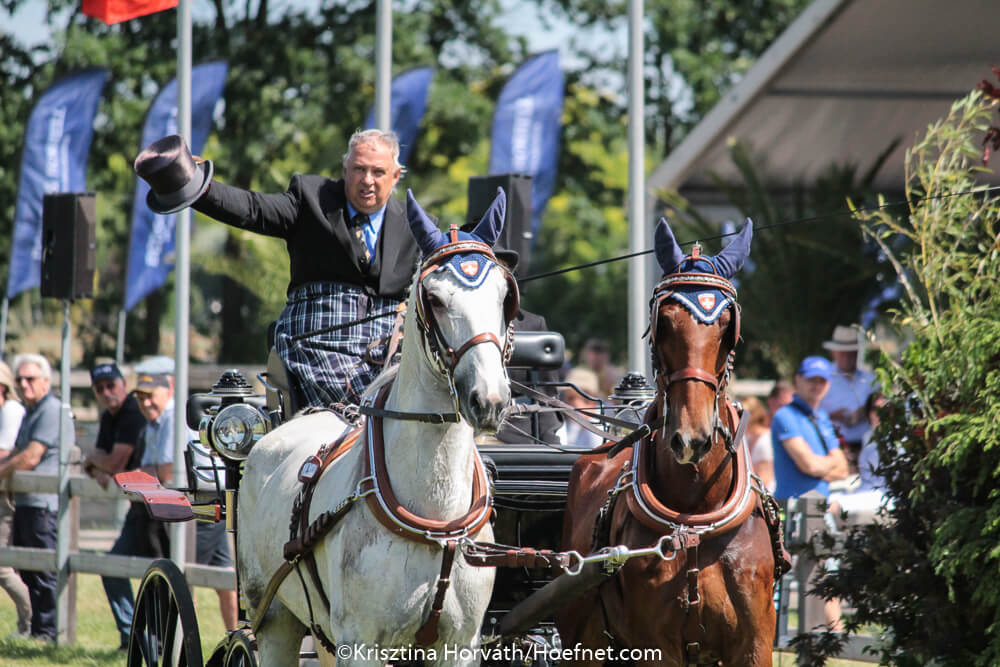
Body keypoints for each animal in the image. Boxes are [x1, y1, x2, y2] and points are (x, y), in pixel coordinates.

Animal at [237, 189, 512, 667]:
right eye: (434, 298)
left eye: (503, 296)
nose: (490, 400)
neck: (436, 514)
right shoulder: (361, 642)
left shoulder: (460, 644)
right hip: (274, 617)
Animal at [556, 218, 788, 664]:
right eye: (662, 320)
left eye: (727, 326)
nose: (690, 439)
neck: (695, 521)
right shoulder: (657, 644)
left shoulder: (755, 642)